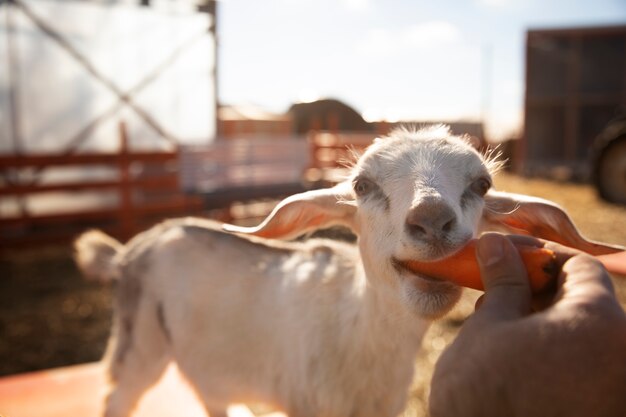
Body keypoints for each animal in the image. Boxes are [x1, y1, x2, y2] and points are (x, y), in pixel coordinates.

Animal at [74, 126, 620, 416]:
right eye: (361, 186)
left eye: (482, 185)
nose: (431, 221)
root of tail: (128, 250)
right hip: (139, 344)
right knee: (118, 396)